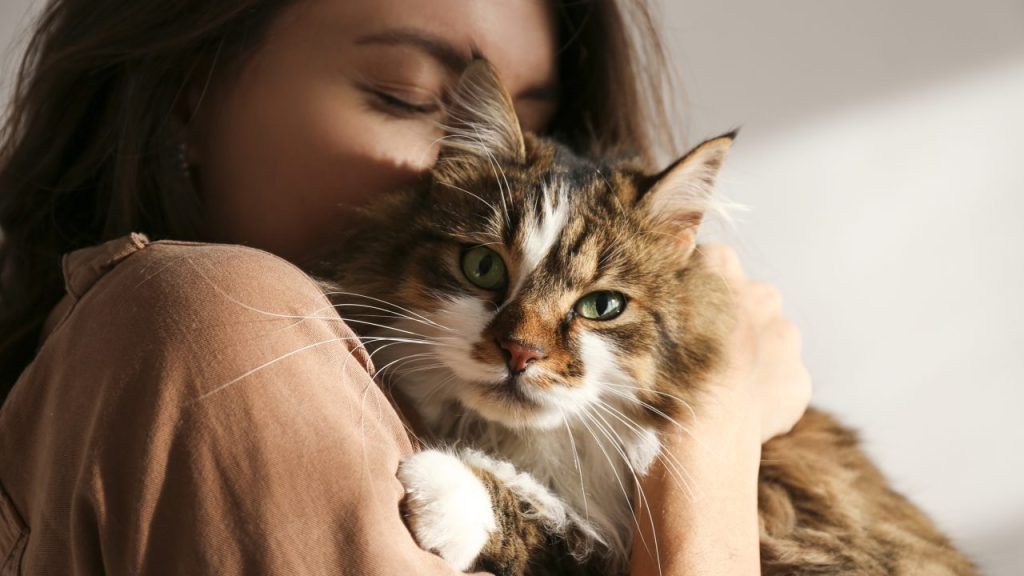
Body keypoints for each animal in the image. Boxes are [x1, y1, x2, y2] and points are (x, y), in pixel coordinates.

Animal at [313, 59, 983, 573]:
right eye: (482, 267)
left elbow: (558, 528)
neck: (536, 448)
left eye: (602, 306)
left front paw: (448, 490)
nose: (520, 353)